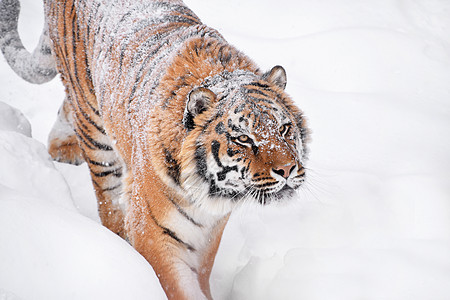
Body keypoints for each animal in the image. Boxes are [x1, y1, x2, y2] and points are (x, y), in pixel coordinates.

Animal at [0, 0, 310, 298]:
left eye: (284, 129)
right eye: (243, 138)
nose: (286, 170)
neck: (210, 193)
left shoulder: (209, 235)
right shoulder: (153, 233)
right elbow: (179, 286)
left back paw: (62, 149)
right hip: (95, 131)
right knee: (108, 200)